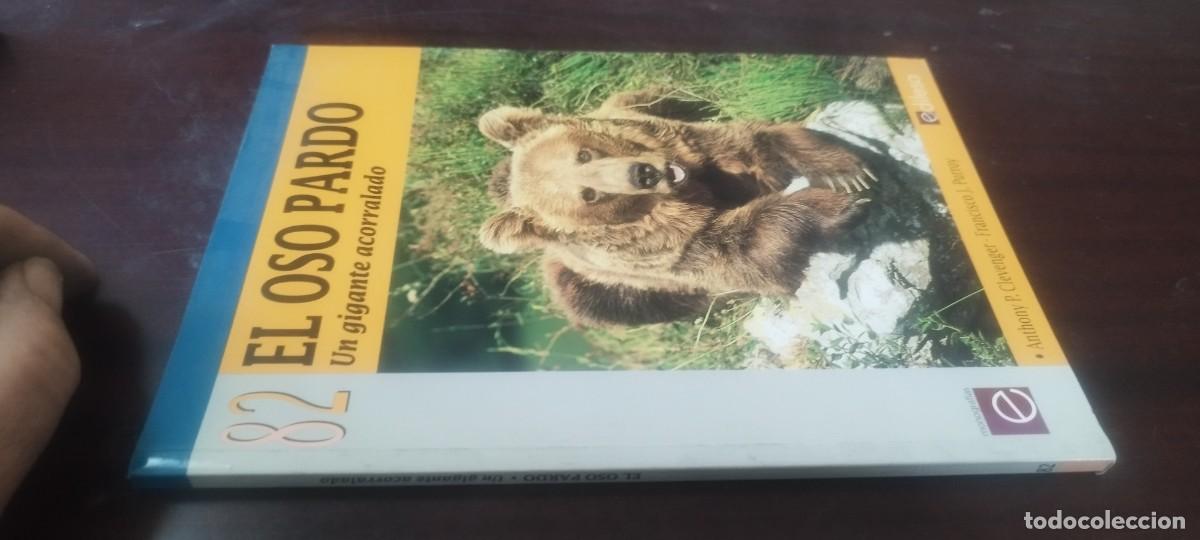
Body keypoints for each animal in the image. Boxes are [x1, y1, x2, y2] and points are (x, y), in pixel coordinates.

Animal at [476, 87, 878, 327]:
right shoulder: (670, 249)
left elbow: (748, 143)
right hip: (594, 288)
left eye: (584, 154)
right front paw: (839, 204)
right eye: (588, 195)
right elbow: (741, 248)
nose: (643, 173)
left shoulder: (688, 147)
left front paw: (846, 173)